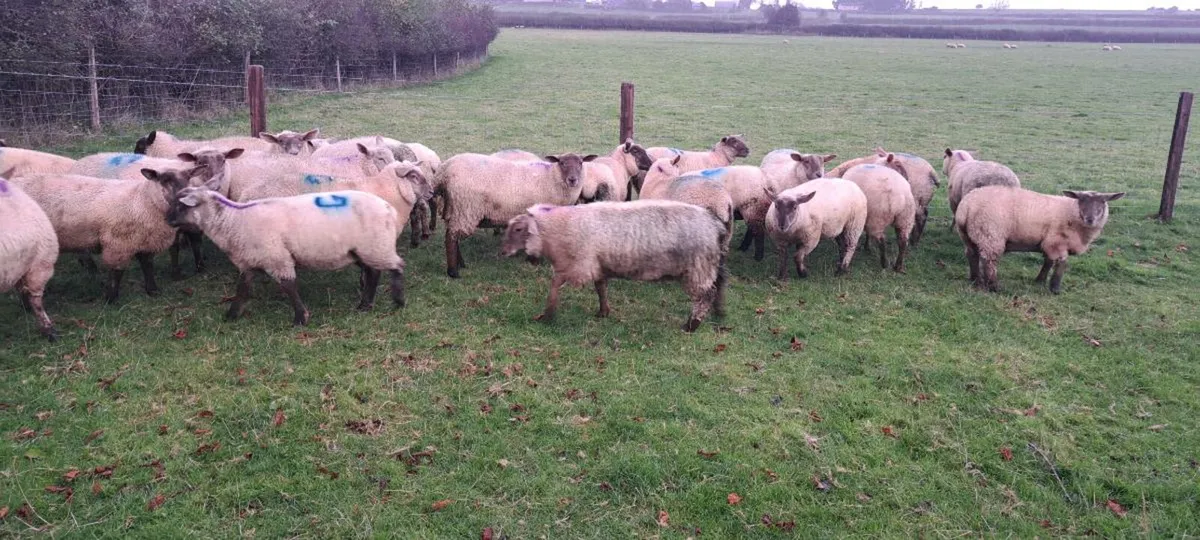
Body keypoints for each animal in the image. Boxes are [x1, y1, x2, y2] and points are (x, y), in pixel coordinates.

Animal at [9, 166, 203, 302]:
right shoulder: (118, 243)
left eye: (188, 178)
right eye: (164, 180)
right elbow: (117, 272)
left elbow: (147, 265)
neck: (142, 201)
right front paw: (111, 298)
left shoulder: (144, 239)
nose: (185, 199)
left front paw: (153, 290)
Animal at [168, 187, 405, 325]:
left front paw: (300, 318)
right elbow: (242, 289)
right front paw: (232, 315)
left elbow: (288, 287)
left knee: (396, 266)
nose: (167, 220)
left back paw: (398, 300)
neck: (234, 220)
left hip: (375, 245)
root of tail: (389, 208)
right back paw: (366, 304)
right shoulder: (249, 261)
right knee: (374, 272)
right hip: (365, 249)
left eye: (180, 204)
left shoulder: (277, 258)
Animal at [437, 152, 595, 277]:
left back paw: (461, 264)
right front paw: (534, 261)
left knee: (452, 236)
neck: (551, 177)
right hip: (465, 208)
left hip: (453, 209)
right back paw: (453, 272)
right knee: (451, 239)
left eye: (581, 163)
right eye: (562, 163)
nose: (572, 180)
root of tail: (444, 169)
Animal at [500, 201, 728, 332]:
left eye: (519, 229)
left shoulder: (578, 265)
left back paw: (692, 325)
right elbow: (601, 289)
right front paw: (603, 312)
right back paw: (719, 313)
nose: (502, 252)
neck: (558, 228)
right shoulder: (598, 265)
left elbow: (555, 284)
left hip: (699, 268)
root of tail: (716, 225)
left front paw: (547, 314)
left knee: (706, 295)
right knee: (720, 285)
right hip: (712, 264)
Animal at [955, 186, 1125, 294]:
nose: (1090, 219)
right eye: (1080, 200)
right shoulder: (1056, 242)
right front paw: (1055, 288)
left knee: (972, 255)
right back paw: (994, 287)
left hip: (969, 235)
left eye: (1103, 202)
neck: (1072, 213)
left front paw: (1040, 281)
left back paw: (975, 280)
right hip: (991, 234)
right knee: (989, 261)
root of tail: (966, 207)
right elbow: (1062, 263)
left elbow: (1048, 262)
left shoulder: (1049, 244)